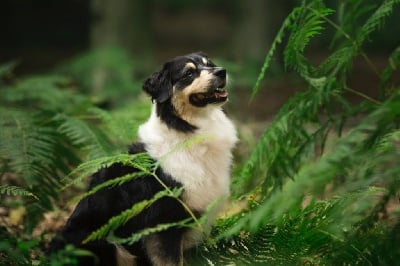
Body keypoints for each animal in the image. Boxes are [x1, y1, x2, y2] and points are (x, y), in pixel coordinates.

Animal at [49, 52, 238, 266]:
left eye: (210, 64)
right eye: (189, 73)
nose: (222, 72)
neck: (187, 132)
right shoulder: (164, 222)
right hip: (103, 242)